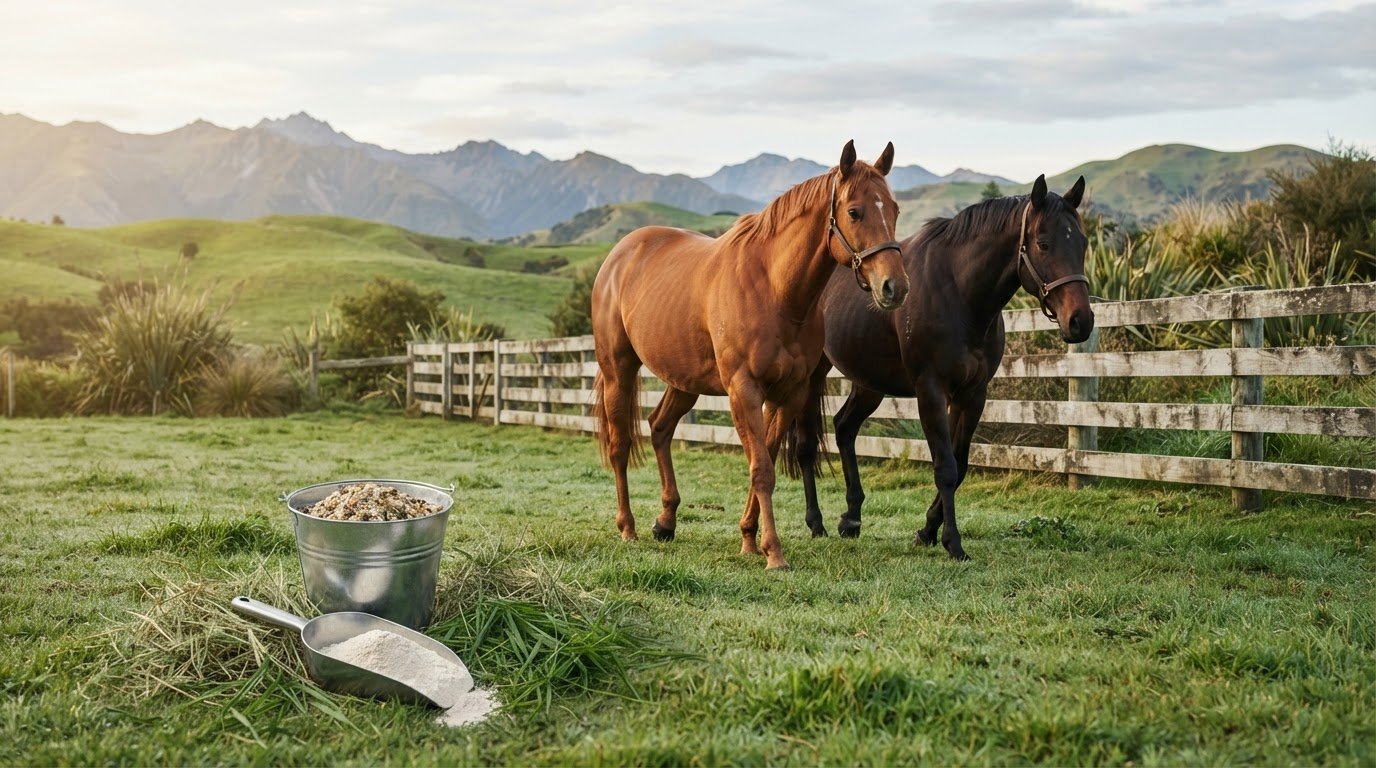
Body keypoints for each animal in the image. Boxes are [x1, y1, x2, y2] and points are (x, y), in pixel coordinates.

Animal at [591, 141, 910, 571]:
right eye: (855, 211)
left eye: (893, 209)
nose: (895, 287)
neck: (774, 290)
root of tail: (619, 256)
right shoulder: (744, 390)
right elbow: (761, 470)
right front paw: (773, 552)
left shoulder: (788, 394)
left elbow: (767, 462)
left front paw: (749, 538)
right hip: (618, 371)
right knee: (620, 444)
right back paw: (628, 527)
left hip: (684, 381)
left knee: (659, 427)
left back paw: (665, 521)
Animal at [789, 174, 1092, 560]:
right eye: (1043, 244)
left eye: (1082, 242)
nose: (1080, 321)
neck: (959, 294)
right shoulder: (930, 390)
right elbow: (945, 467)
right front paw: (953, 542)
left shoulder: (972, 394)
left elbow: (959, 465)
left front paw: (927, 530)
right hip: (813, 375)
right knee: (806, 445)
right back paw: (816, 522)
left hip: (869, 382)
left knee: (844, 428)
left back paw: (851, 518)